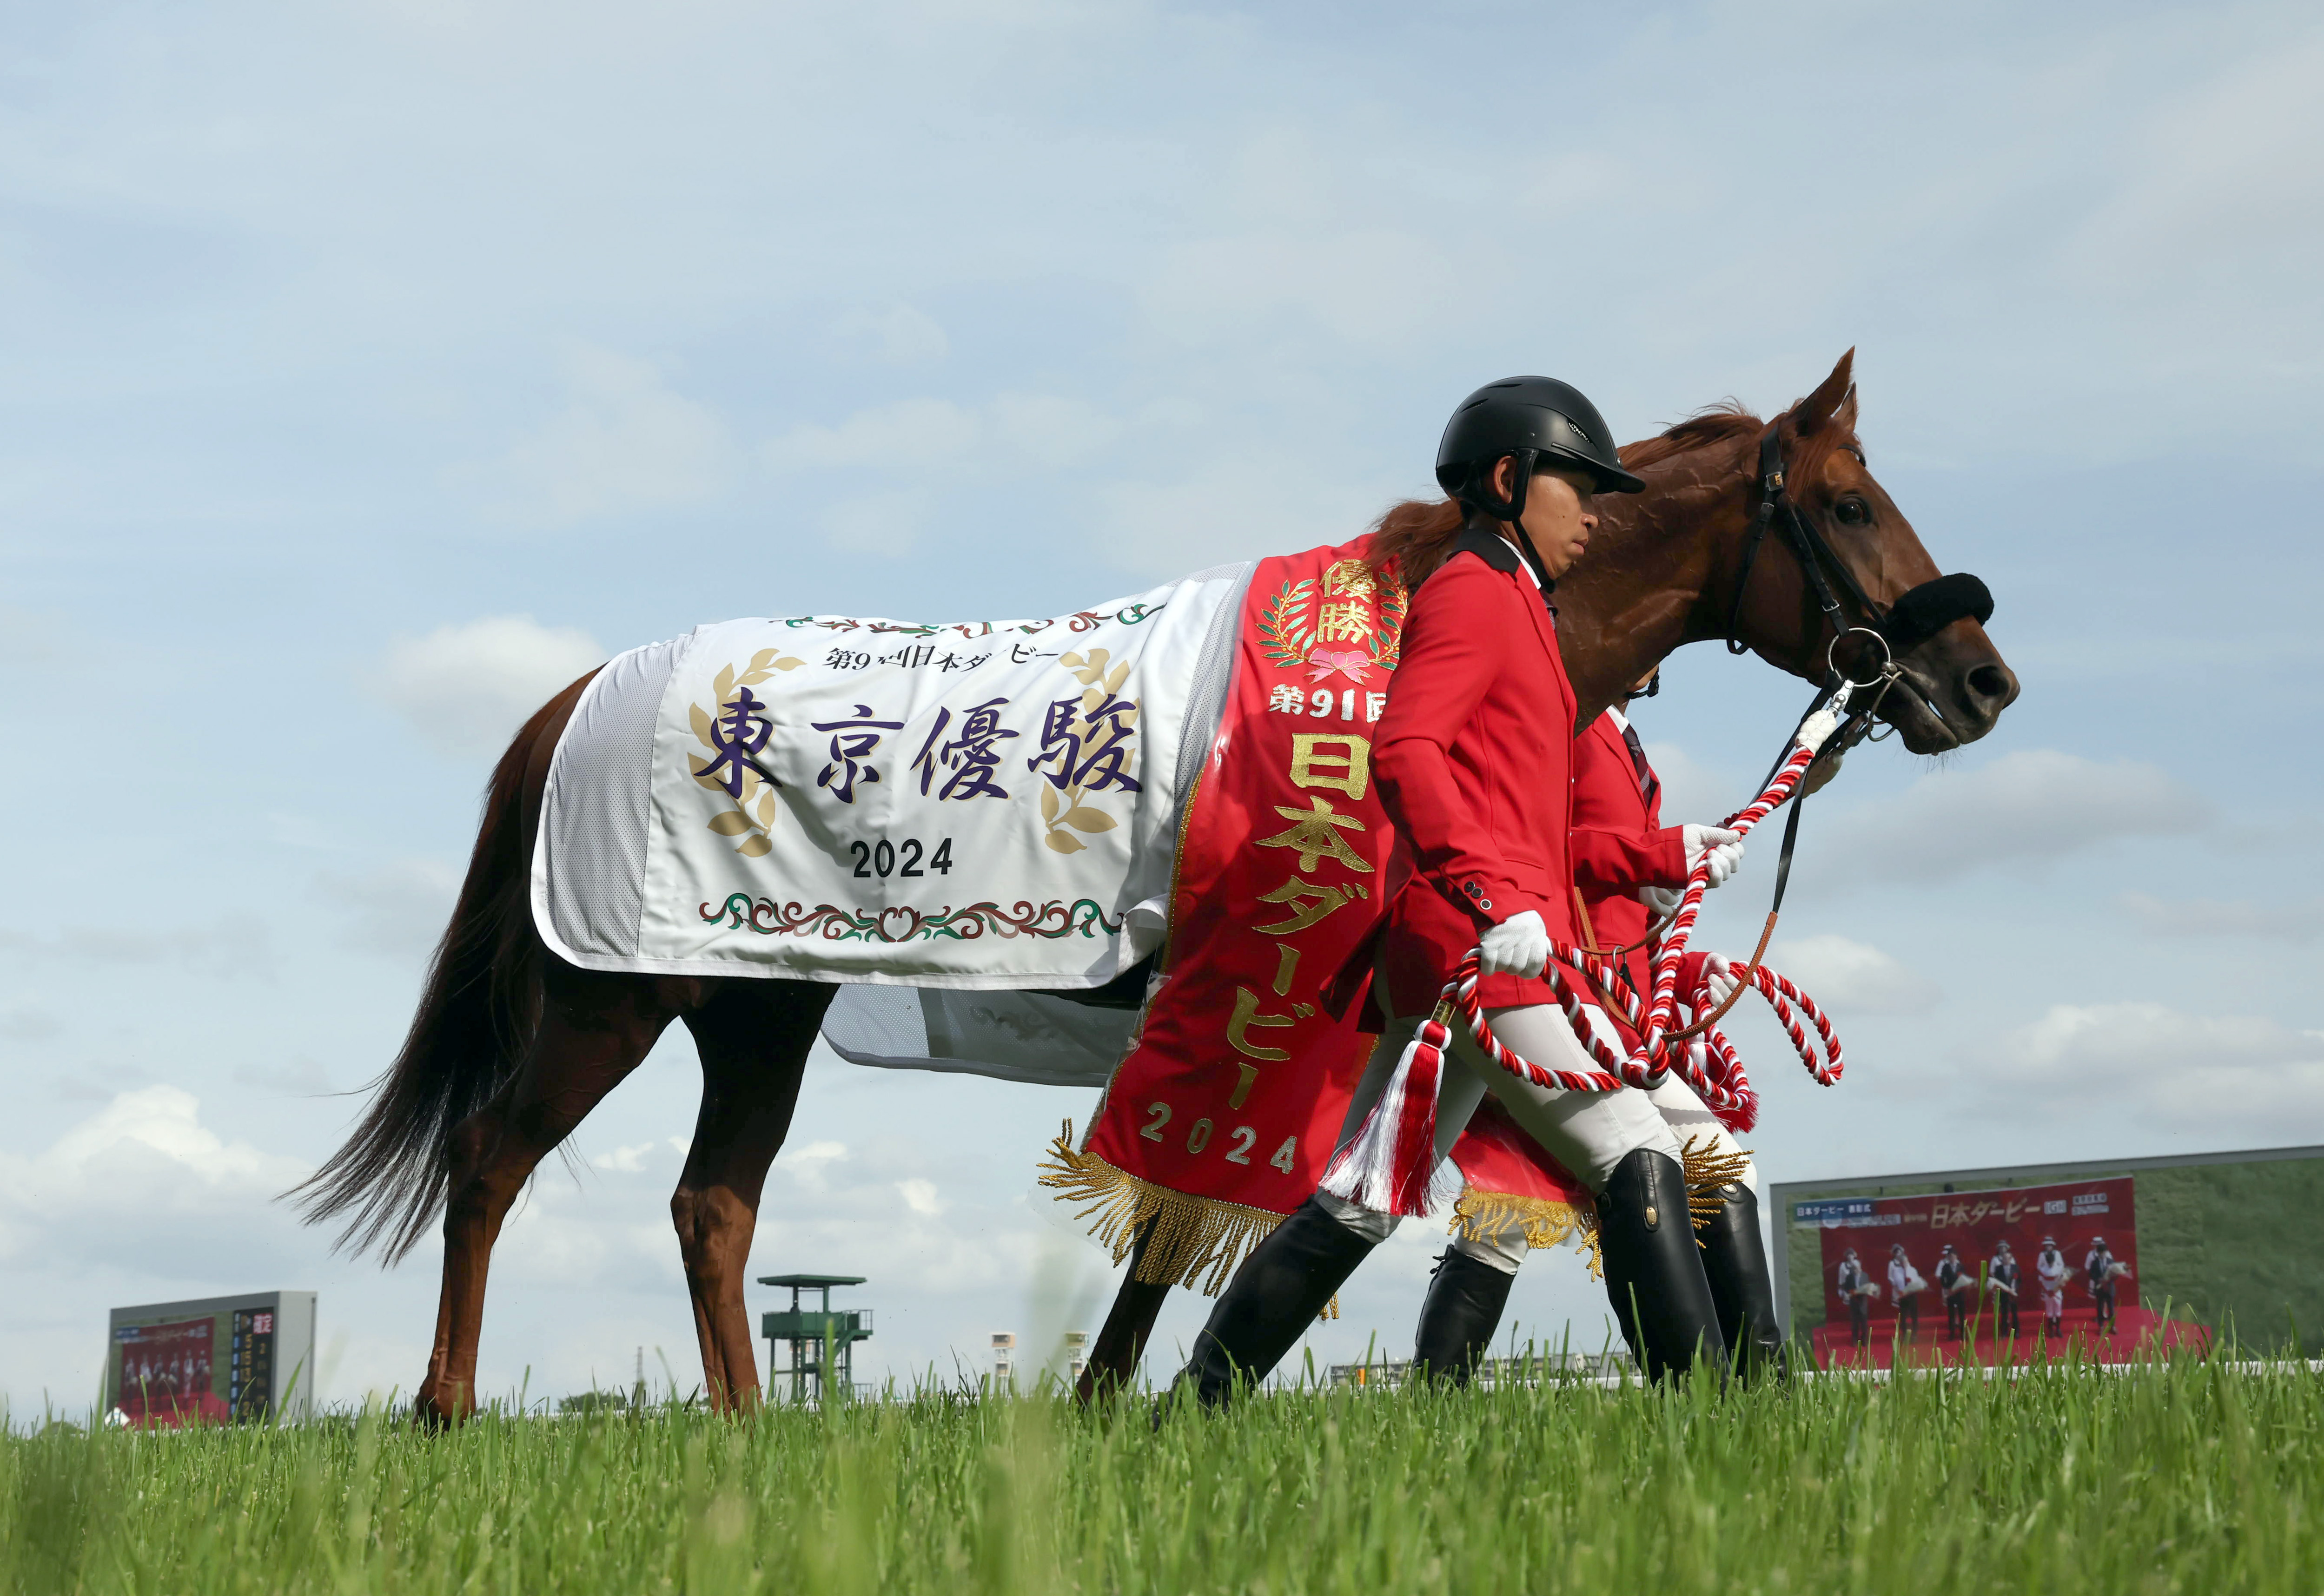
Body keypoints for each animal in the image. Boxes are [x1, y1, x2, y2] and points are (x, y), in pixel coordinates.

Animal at [291, 351, 2016, 1422]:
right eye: (1849, 506)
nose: (1980, 679)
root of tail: (571, 691)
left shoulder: (1409, 1011)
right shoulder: (1286, 1002)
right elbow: (1201, 1213)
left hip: (755, 1008)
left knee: (714, 1201)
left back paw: (737, 1427)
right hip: (612, 992)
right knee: (491, 1158)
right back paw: (447, 1409)